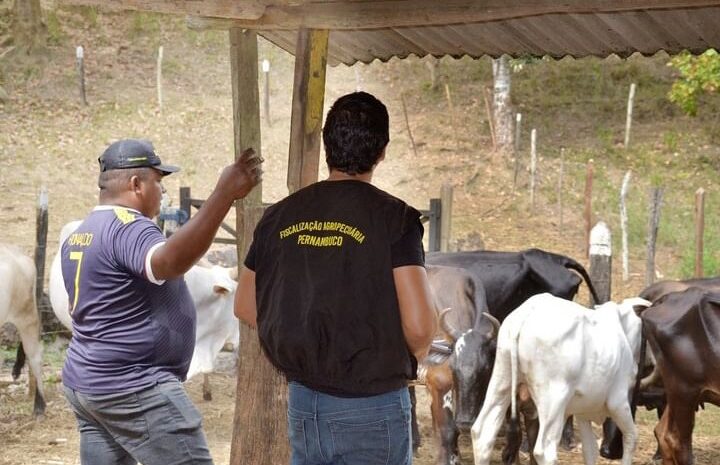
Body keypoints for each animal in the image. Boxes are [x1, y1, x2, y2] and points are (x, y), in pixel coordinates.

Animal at [472, 294, 652, 464]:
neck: (623, 330)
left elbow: (590, 450)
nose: (651, 362)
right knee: (544, 452)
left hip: (501, 382)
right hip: (553, 402)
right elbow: (631, 438)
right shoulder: (618, 402)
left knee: (482, 434)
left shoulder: (582, 412)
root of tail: (525, 315)